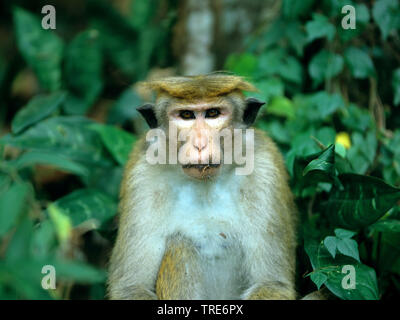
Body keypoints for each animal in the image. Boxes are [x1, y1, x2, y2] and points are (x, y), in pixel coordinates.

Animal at [108, 72, 298, 300]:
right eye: (186, 115)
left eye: (213, 113)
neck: (205, 185)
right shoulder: (142, 175)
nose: (200, 144)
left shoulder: (264, 168)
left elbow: (271, 282)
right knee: (180, 246)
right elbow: (131, 286)